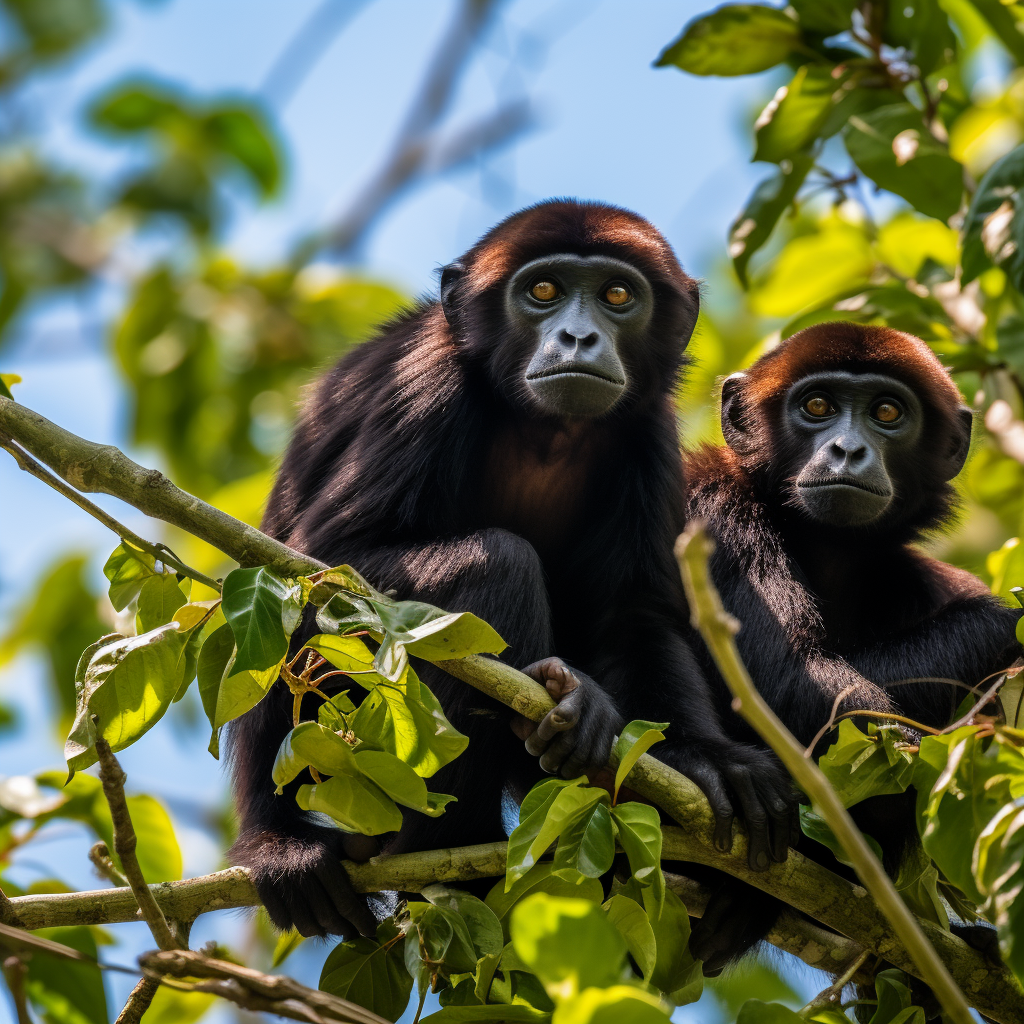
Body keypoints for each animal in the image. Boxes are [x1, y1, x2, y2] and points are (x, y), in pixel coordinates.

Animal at [684, 319, 1019, 966]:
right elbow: (803, 691)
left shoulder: (914, 576)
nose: (847, 449)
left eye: (887, 412)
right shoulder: (714, 512)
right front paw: (1010, 622)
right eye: (817, 406)